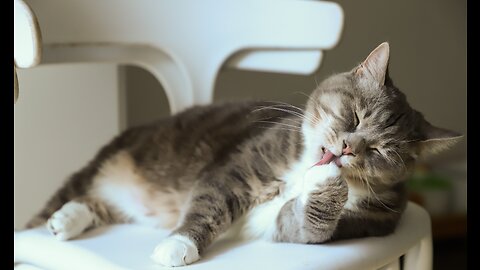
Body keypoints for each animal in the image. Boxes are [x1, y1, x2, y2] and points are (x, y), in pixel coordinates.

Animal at [24, 42, 460, 266]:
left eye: (381, 151)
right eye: (354, 116)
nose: (347, 149)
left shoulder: (344, 224)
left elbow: (307, 224)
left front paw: (325, 183)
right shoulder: (240, 166)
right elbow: (210, 203)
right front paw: (177, 246)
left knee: (96, 205)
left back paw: (67, 220)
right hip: (104, 164)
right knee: (65, 200)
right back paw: (58, 219)